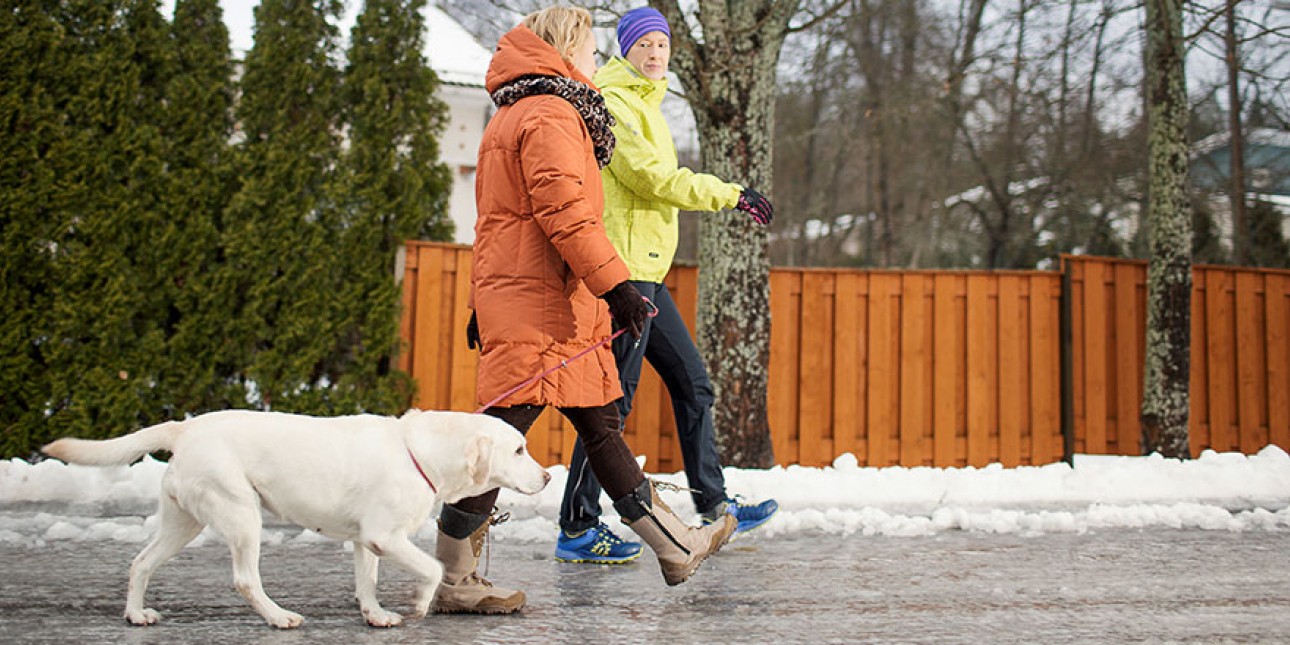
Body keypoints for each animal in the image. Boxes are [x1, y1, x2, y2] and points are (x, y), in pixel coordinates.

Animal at [42, 410, 546, 626]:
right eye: (519, 449)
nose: (544, 476)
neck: (421, 451)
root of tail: (185, 427)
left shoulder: (366, 541)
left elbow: (367, 582)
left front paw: (375, 615)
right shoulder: (385, 536)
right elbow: (434, 567)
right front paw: (421, 604)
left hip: (183, 522)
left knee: (140, 563)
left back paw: (134, 614)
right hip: (242, 514)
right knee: (245, 579)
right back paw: (279, 617)